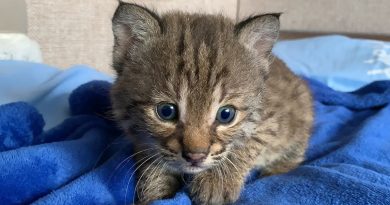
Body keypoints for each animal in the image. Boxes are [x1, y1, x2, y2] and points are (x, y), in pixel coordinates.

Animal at [109, 2, 314, 205]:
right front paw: (154, 193)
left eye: (226, 114)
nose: (195, 156)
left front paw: (216, 182)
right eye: (166, 111)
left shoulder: (269, 120)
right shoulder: (141, 137)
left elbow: (246, 144)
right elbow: (152, 160)